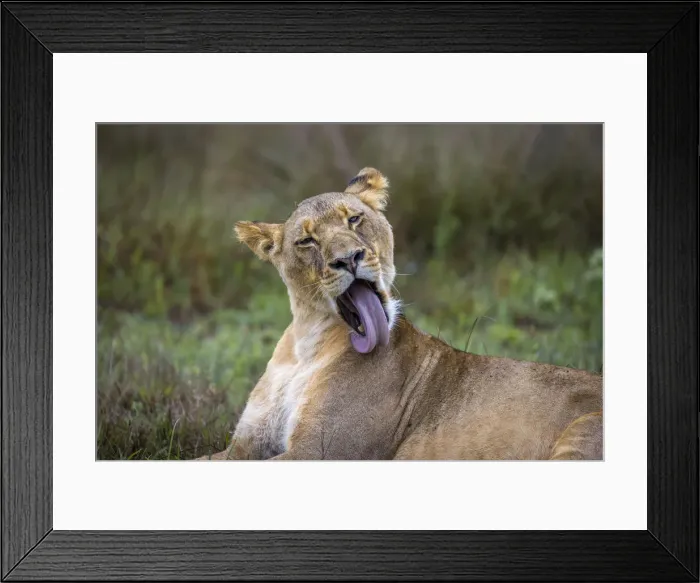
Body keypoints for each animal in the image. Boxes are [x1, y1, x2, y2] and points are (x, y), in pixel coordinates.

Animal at [199, 168, 603, 461]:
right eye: (306, 240)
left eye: (354, 220)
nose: (349, 258)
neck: (306, 344)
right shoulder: (243, 447)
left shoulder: (320, 452)